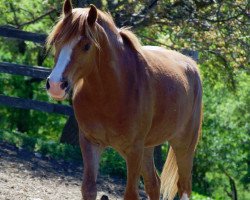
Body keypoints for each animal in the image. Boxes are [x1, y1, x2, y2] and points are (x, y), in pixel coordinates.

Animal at [46, 0, 202, 199]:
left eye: (87, 46)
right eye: (57, 41)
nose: (56, 85)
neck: (112, 93)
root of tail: (192, 65)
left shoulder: (134, 150)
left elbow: (131, 194)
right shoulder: (90, 143)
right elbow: (89, 188)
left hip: (183, 145)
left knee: (184, 187)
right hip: (147, 148)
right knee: (154, 184)